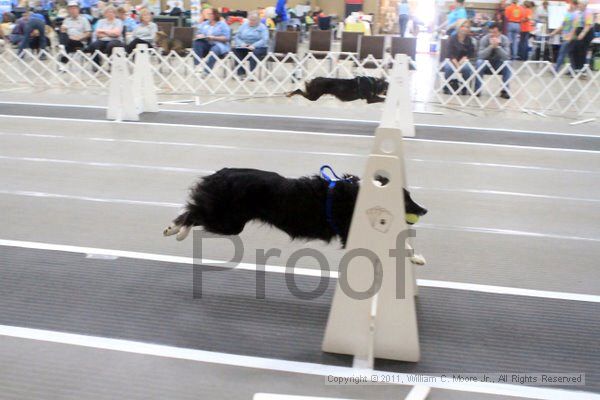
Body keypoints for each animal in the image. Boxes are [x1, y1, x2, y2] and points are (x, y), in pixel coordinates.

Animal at [164, 169, 426, 266]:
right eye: (407, 199)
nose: (424, 210)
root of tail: (219, 175)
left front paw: (417, 257)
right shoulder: (351, 231)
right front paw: (414, 256)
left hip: (228, 220)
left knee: (194, 210)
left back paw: (176, 229)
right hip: (229, 222)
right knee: (193, 212)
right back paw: (175, 230)